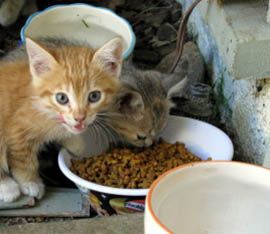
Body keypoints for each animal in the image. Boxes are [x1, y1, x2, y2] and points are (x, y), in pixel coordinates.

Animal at [0, 37, 123, 202]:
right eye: (62, 98)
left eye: (94, 96)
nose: (80, 117)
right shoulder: (17, 129)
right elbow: (23, 159)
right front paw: (30, 183)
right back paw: (7, 187)